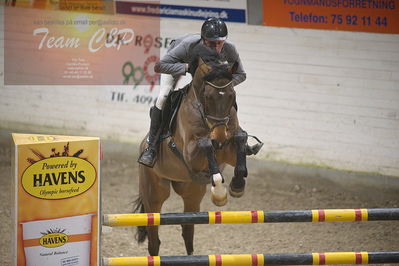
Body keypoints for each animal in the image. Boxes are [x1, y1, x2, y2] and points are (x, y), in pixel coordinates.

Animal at [136, 45, 252, 256]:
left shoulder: (228, 151)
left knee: (187, 230)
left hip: (192, 193)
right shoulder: (191, 155)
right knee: (154, 240)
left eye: (232, 96)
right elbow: (205, 144)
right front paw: (219, 189)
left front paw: (237, 185)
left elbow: (240, 138)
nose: (220, 136)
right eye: (208, 97)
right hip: (154, 194)